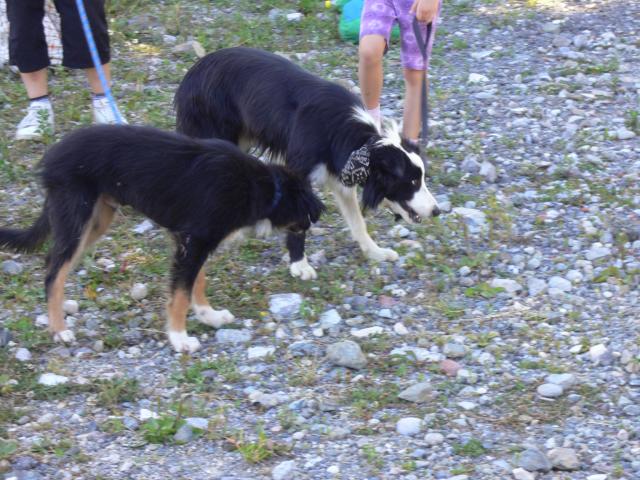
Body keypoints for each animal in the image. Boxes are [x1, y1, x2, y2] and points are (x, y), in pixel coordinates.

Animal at [0, 125, 322, 354]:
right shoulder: (194, 242)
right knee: (54, 272)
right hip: (77, 216)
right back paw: (59, 330)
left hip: (96, 220)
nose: (309, 226)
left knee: (52, 263)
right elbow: (180, 294)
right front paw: (180, 338)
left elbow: (196, 281)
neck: (262, 186)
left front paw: (207, 315)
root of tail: (53, 154)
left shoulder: (195, 240)